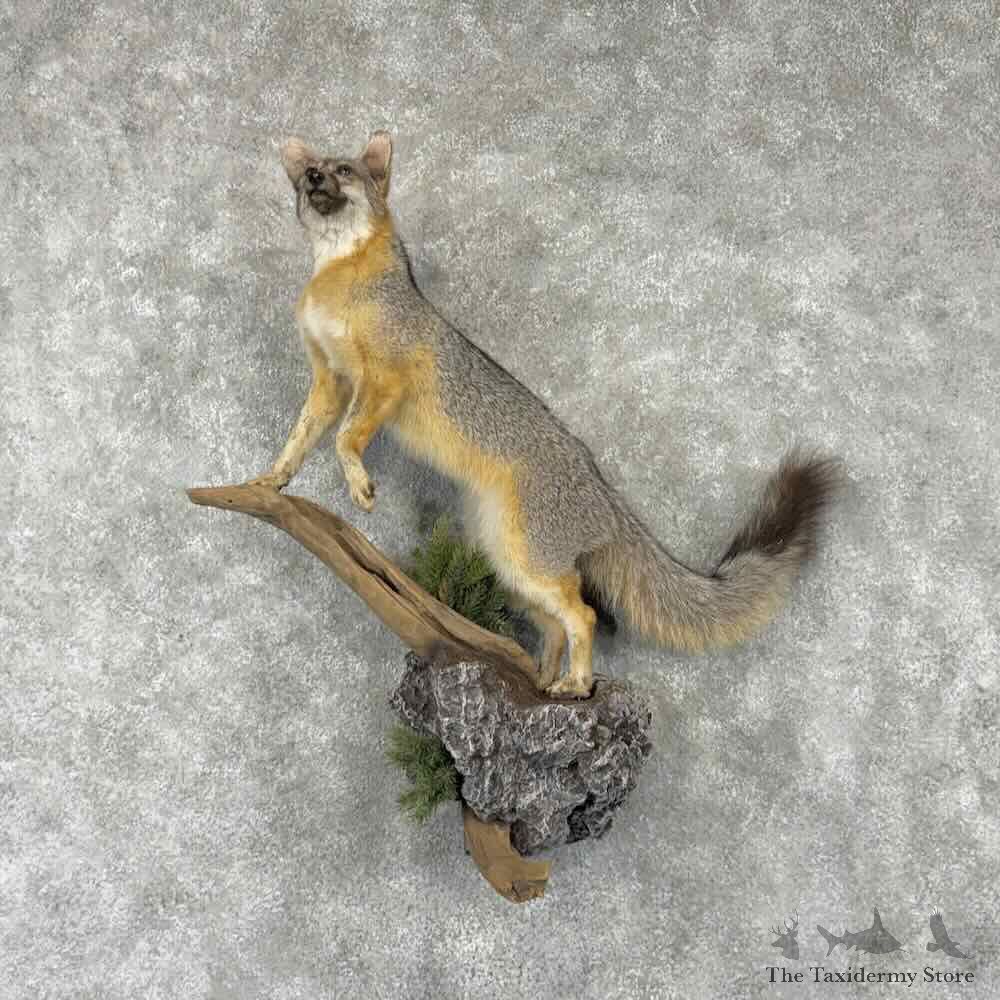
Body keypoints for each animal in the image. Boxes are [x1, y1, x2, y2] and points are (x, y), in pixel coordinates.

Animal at [247, 129, 842, 699]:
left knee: (585, 614)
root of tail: (604, 492)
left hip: (528, 564)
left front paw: (359, 484)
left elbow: (345, 438)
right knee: (557, 625)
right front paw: (271, 479)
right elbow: (301, 437)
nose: (315, 177)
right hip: (511, 566)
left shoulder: (384, 380)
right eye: (309, 172)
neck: (340, 277)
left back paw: (577, 684)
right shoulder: (331, 380)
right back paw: (543, 682)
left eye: (344, 170)